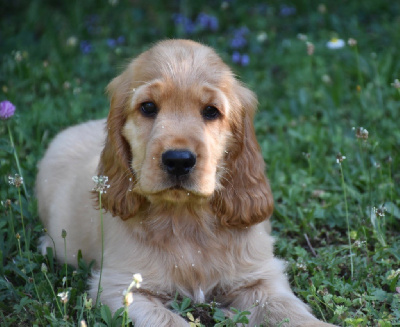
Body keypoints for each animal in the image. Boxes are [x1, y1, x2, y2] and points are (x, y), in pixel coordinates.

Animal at [37, 39, 332, 326]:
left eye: (211, 111)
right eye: (148, 107)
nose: (178, 160)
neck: (186, 218)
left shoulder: (262, 277)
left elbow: (292, 313)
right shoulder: (120, 286)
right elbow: (169, 320)